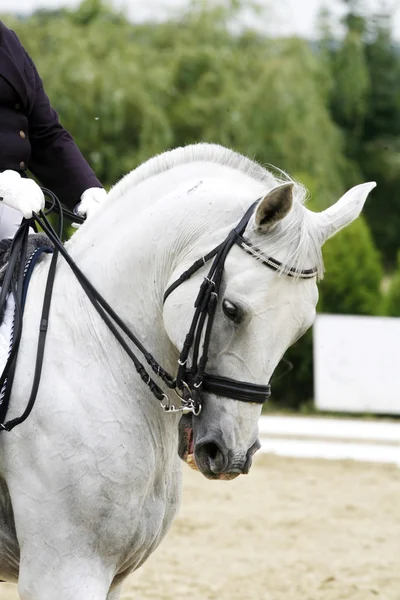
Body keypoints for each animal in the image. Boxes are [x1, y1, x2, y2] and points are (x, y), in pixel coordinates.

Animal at [0, 143, 376, 596]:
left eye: (301, 328)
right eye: (231, 309)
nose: (231, 454)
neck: (90, 348)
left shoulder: (111, 577)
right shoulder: (63, 572)